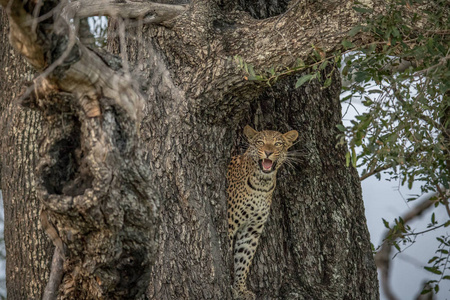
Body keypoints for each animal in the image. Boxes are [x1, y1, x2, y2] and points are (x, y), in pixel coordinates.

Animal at [227, 125, 298, 300]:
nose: (268, 152)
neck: (262, 185)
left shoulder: (251, 229)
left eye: (278, 144)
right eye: (260, 142)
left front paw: (240, 289)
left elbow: (244, 258)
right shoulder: (230, 223)